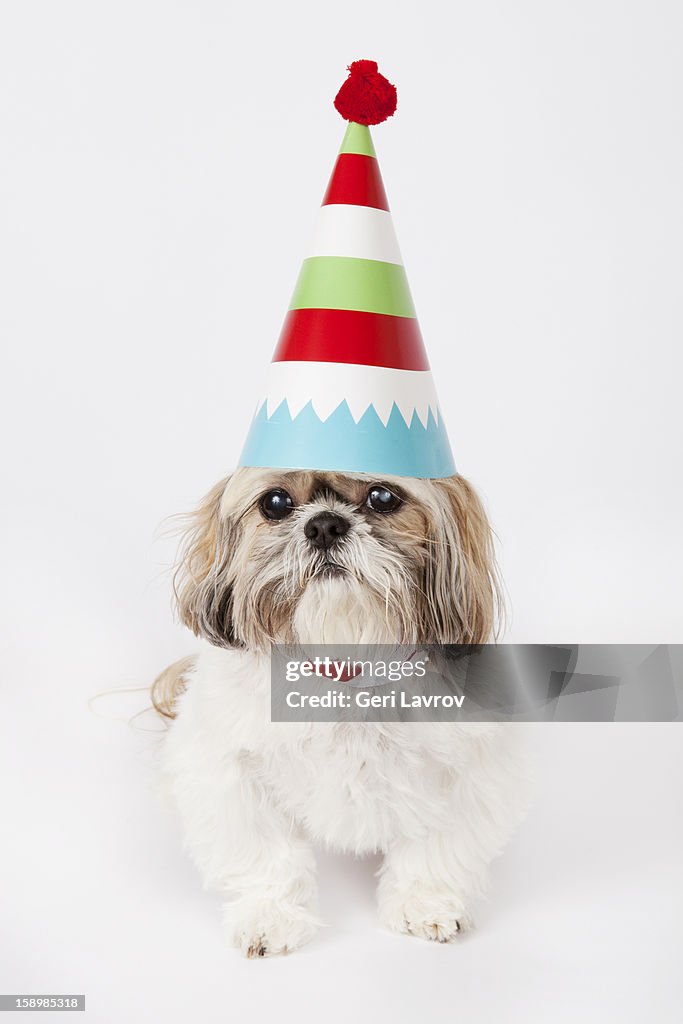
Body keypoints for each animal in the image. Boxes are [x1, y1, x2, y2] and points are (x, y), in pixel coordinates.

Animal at [153, 468, 528, 954]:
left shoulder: (467, 769)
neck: (346, 666)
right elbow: (265, 852)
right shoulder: (230, 767)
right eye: (275, 503)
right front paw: (270, 915)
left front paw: (424, 904)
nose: (325, 525)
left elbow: (435, 846)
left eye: (383, 497)